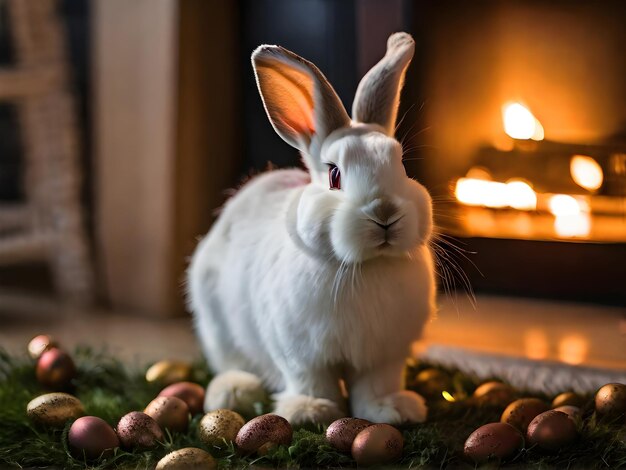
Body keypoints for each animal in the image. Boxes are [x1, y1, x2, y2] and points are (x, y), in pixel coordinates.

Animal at [186, 31, 434, 424]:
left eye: (402, 166)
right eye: (334, 175)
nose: (385, 213)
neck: (364, 267)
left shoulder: (385, 356)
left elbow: (376, 385)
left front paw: (390, 411)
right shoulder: (299, 353)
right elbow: (311, 380)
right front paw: (311, 411)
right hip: (216, 324)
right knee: (231, 361)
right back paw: (235, 392)